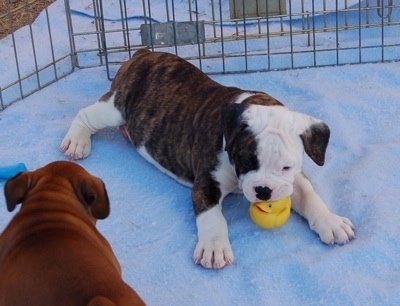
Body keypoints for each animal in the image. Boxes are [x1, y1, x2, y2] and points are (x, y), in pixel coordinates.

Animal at [61, 49, 354, 268]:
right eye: (246, 161)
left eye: (286, 167)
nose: (264, 191)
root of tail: (143, 53)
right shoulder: (207, 184)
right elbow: (212, 217)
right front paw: (214, 248)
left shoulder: (295, 180)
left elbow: (310, 196)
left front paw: (331, 222)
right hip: (115, 107)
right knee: (87, 115)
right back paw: (77, 142)